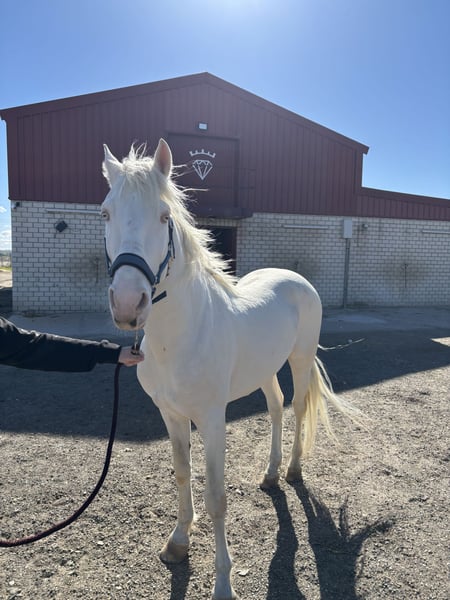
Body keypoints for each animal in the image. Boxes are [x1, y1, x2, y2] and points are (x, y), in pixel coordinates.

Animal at [101, 139, 359, 600]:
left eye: (164, 216)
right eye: (105, 213)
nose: (129, 305)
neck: (180, 336)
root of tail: (294, 278)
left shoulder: (211, 419)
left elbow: (217, 498)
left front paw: (223, 583)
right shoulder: (171, 414)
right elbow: (182, 475)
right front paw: (177, 544)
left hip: (299, 359)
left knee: (296, 408)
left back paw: (292, 470)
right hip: (266, 371)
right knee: (275, 406)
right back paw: (271, 475)